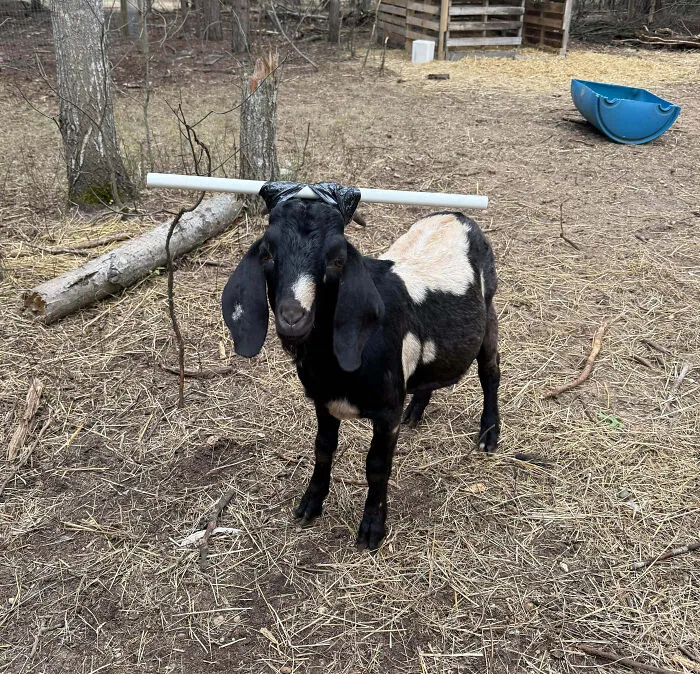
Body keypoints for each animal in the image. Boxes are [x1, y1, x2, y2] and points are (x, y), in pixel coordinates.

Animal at [222, 192, 500, 550]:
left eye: (338, 259)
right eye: (268, 254)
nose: (292, 317)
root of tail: (456, 215)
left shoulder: (386, 413)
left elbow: (377, 466)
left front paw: (372, 528)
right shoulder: (324, 402)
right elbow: (323, 448)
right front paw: (310, 505)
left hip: (489, 311)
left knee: (490, 372)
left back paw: (489, 434)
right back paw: (417, 410)